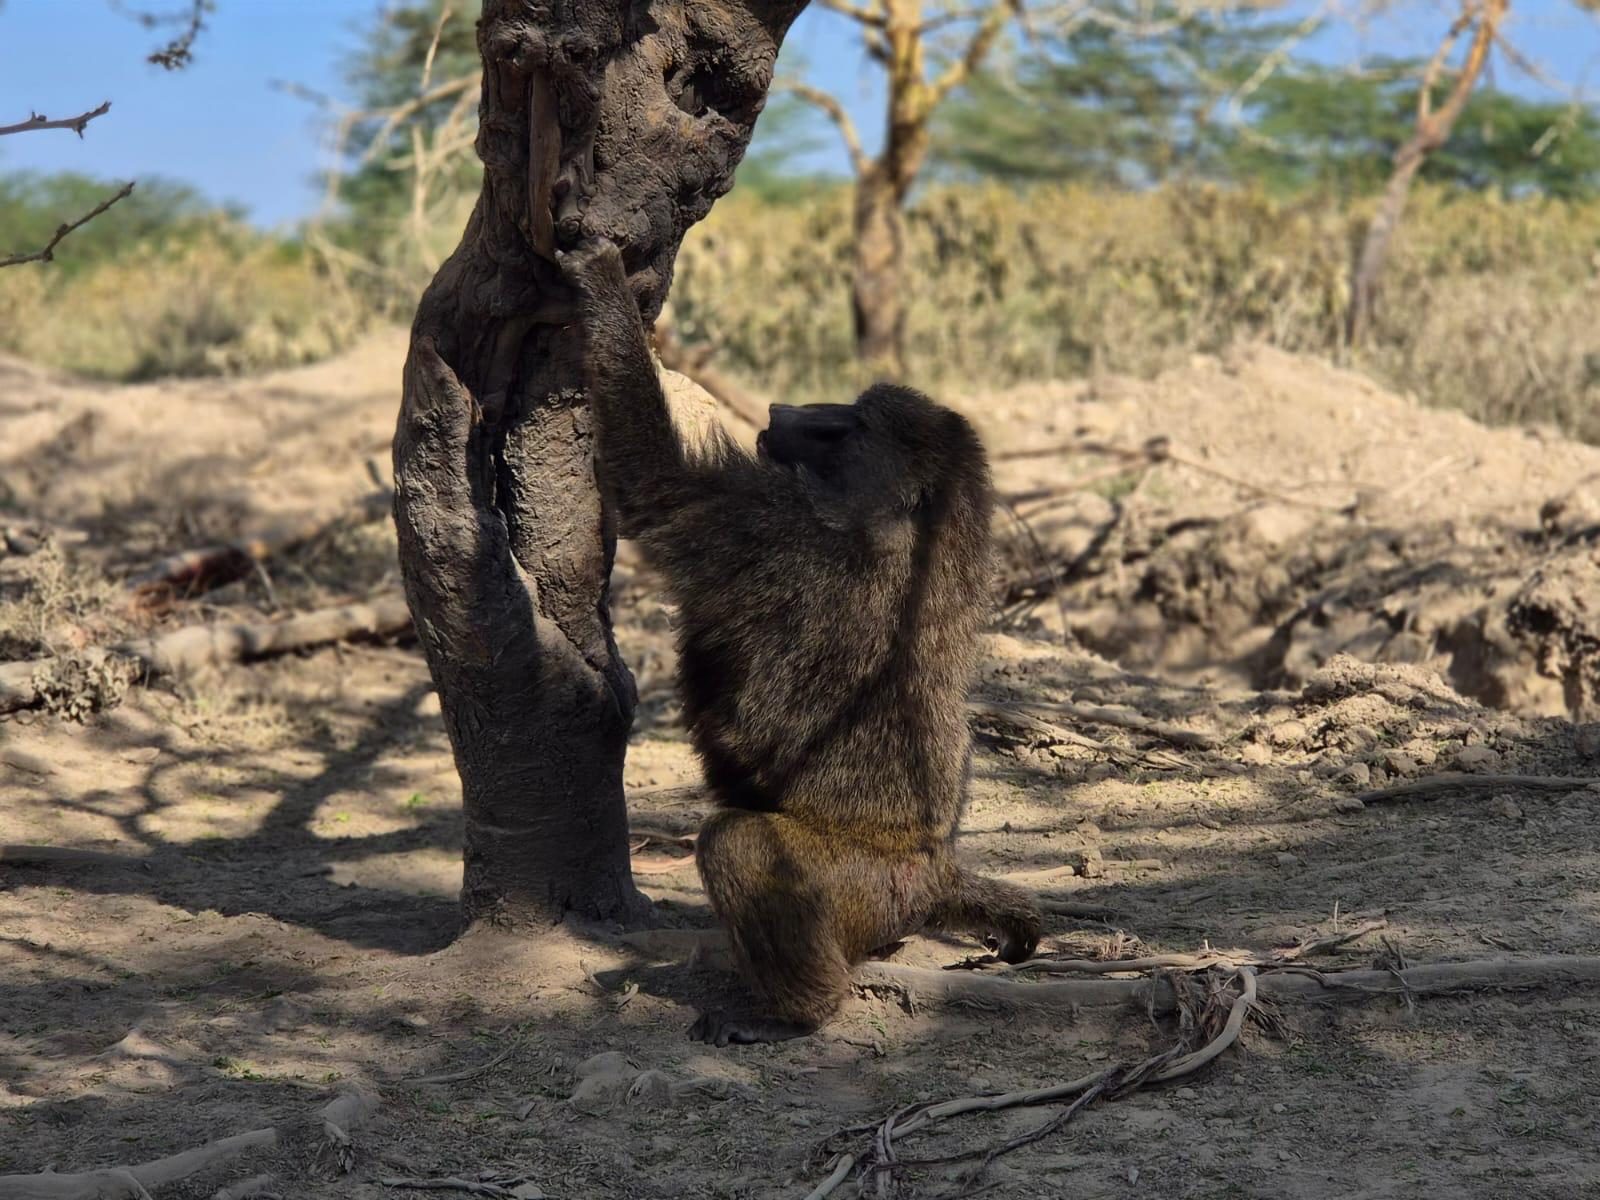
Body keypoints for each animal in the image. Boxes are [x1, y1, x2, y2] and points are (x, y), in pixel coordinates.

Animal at [560, 238, 1041, 1046]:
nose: (781, 410)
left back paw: (798, 1013)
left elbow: (658, 487)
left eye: (852, 425)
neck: (917, 534)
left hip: (863, 884)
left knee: (739, 844)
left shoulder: (772, 527)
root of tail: (934, 872)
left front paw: (600, 277)